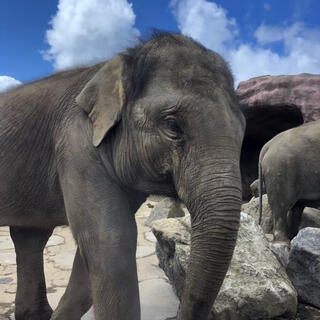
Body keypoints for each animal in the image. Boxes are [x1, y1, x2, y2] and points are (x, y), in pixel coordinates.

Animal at [0, 32, 245, 320]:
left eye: (242, 133)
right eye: (173, 126)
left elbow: (97, 253)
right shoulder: (77, 141)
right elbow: (111, 240)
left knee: (30, 236)